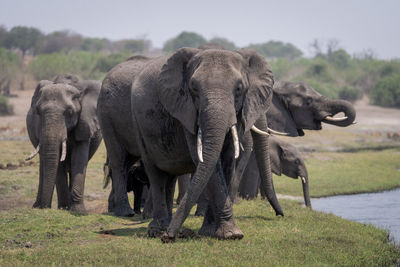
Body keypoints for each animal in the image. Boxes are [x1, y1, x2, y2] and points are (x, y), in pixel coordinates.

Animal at [26, 74, 102, 215]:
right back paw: (38, 205)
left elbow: (79, 159)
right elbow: (58, 164)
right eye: (38, 111)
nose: (45, 208)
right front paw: (64, 208)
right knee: (43, 164)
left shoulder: (85, 122)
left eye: (70, 112)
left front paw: (79, 212)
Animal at [97, 48, 278, 243]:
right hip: (121, 119)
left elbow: (227, 162)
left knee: (165, 175)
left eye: (239, 89)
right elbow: (206, 163)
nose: (169, 237)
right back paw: (146, 224)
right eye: (194, 89)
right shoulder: (186, 111)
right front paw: (232, 234)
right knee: (139, 168)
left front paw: (212, 232)